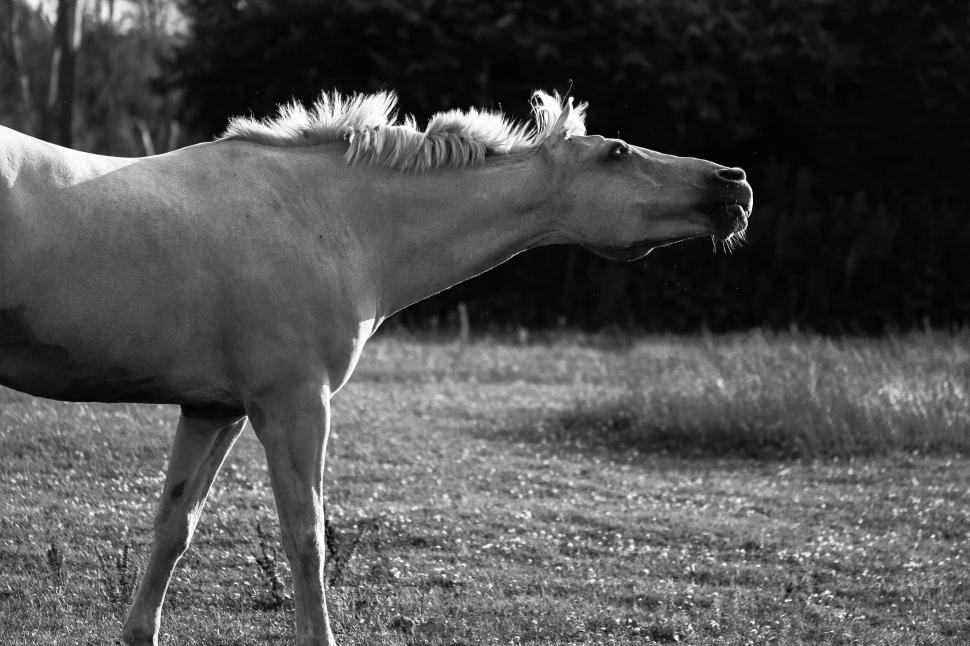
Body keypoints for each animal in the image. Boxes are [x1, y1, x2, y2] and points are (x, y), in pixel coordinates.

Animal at [0, 90, 752, 645]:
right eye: (616, 152)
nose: (734, 182)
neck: (332, 218)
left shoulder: (216, 411)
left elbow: (173, 529)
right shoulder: (295, 406)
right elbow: (306, 539)